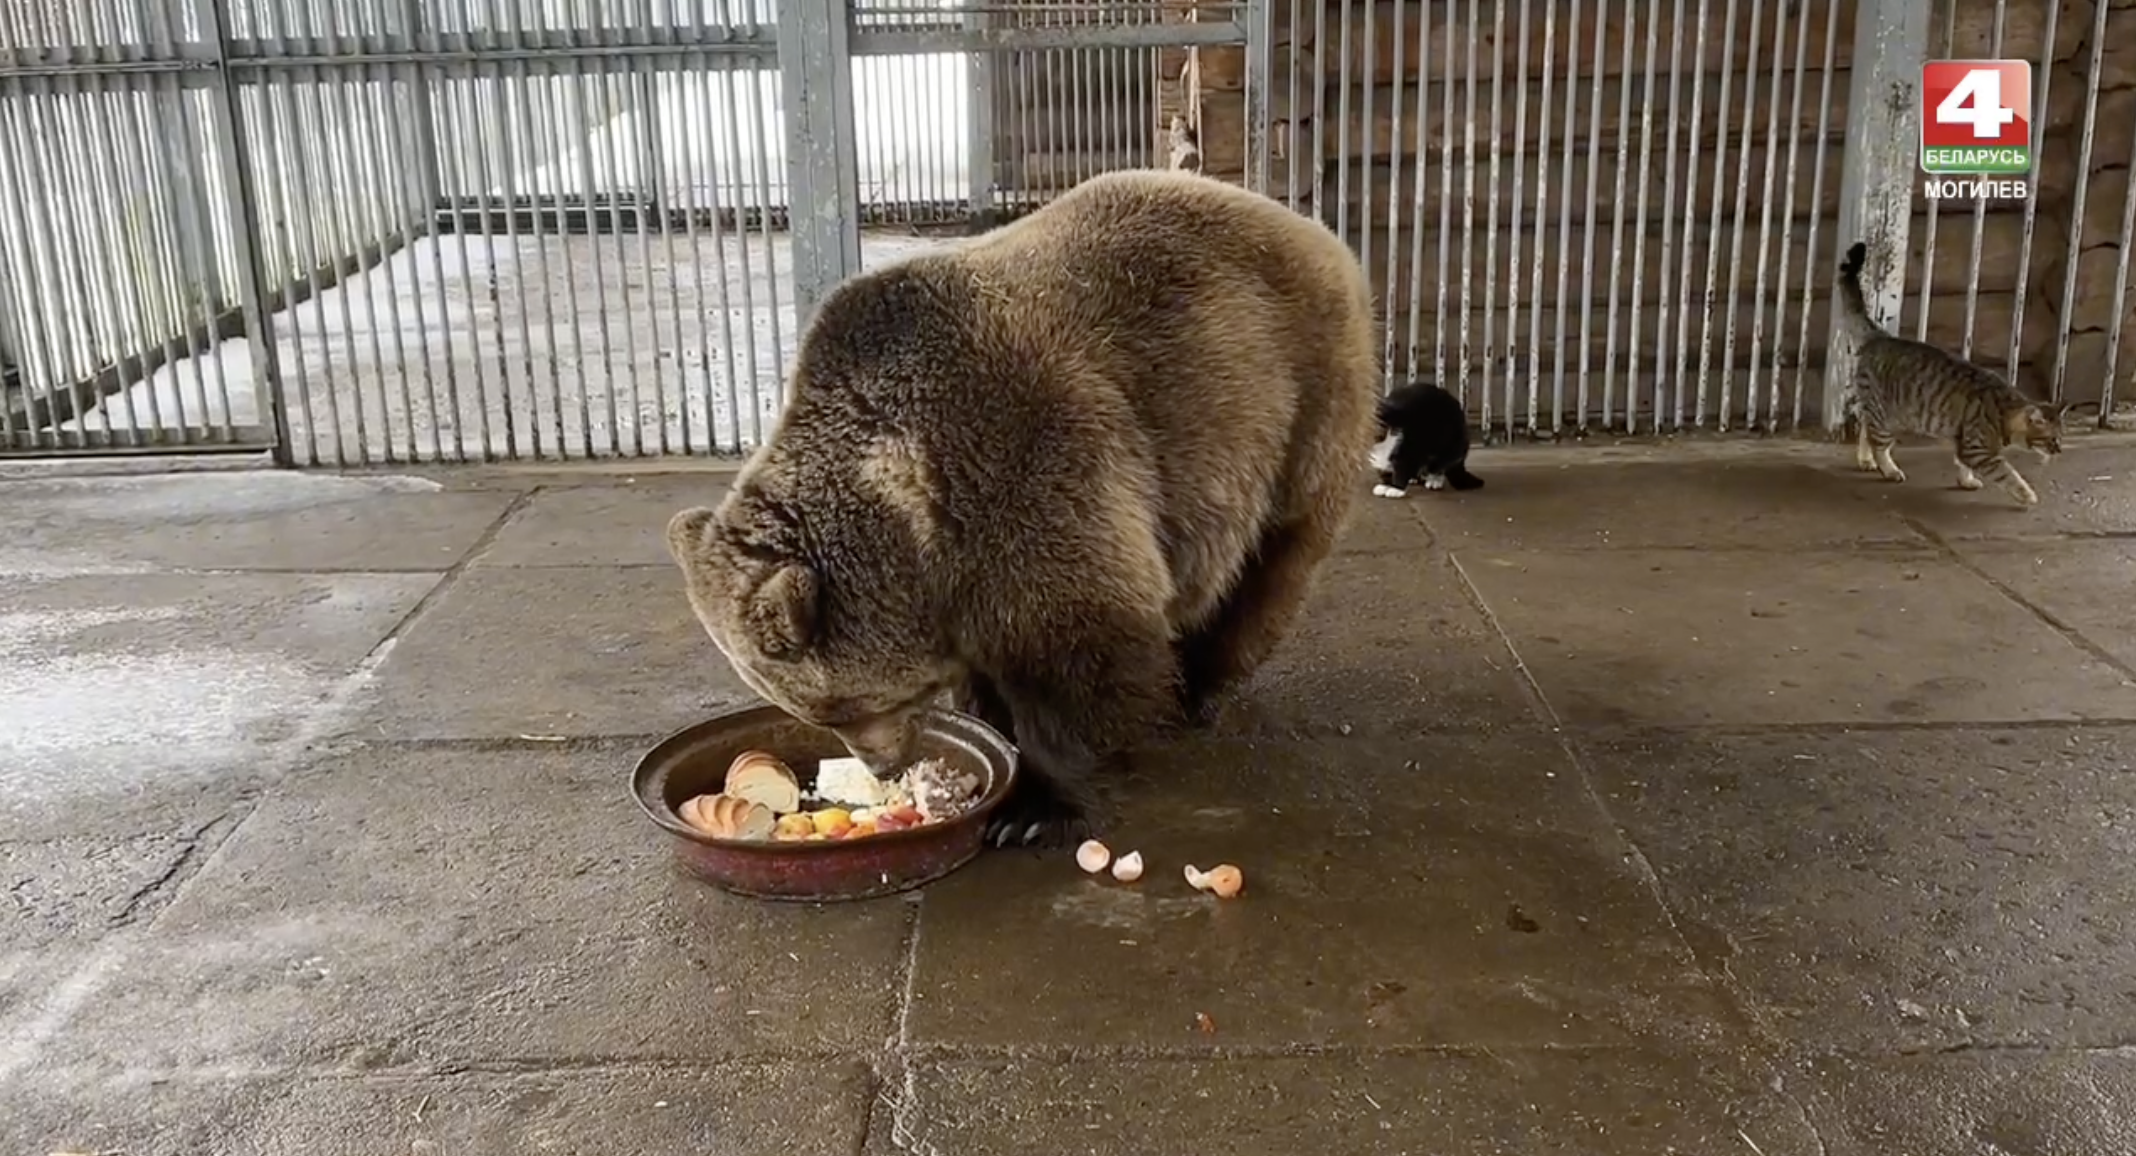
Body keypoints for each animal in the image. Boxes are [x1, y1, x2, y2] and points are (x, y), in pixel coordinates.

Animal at [657, 162, 1375, 841]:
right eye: (814, 713)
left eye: (847, 705)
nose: (884, 764)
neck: (915, 523)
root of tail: (1310, 228)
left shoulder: (1024, 475)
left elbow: (1076, 650)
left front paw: (1037, 806)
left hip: (1292, 401)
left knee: (1267, 564)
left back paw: (1197, 687)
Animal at [1836, 239, 2084, 504]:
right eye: (2052, 439)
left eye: (2061, 436)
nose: (2059, 449)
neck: (2005, 412)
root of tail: (1880, 336)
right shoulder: (1978, 450)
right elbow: (2007, 473)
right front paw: (2026, 494)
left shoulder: (1963, 442)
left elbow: (1964, 465)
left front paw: (1966, 480)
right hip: (1889, 416)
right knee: (1878, 443)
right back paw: (1889, 469)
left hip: (1881, 413)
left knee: (1866, 429)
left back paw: (1866, 459)